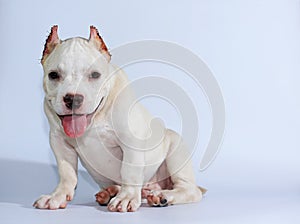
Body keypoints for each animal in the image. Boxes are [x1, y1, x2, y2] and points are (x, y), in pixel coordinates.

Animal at [33, 26, 206, 212]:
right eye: (53, 75)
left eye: (95, 75)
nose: (73, 99)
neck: (96, 117)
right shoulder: (59, 142)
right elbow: (66, 173)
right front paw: (57, 196)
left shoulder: (131, 139)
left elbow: (129, 170)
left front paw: (127, 197)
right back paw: (111, 192)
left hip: (176, 150)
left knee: (190, 190)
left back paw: (162, 196)